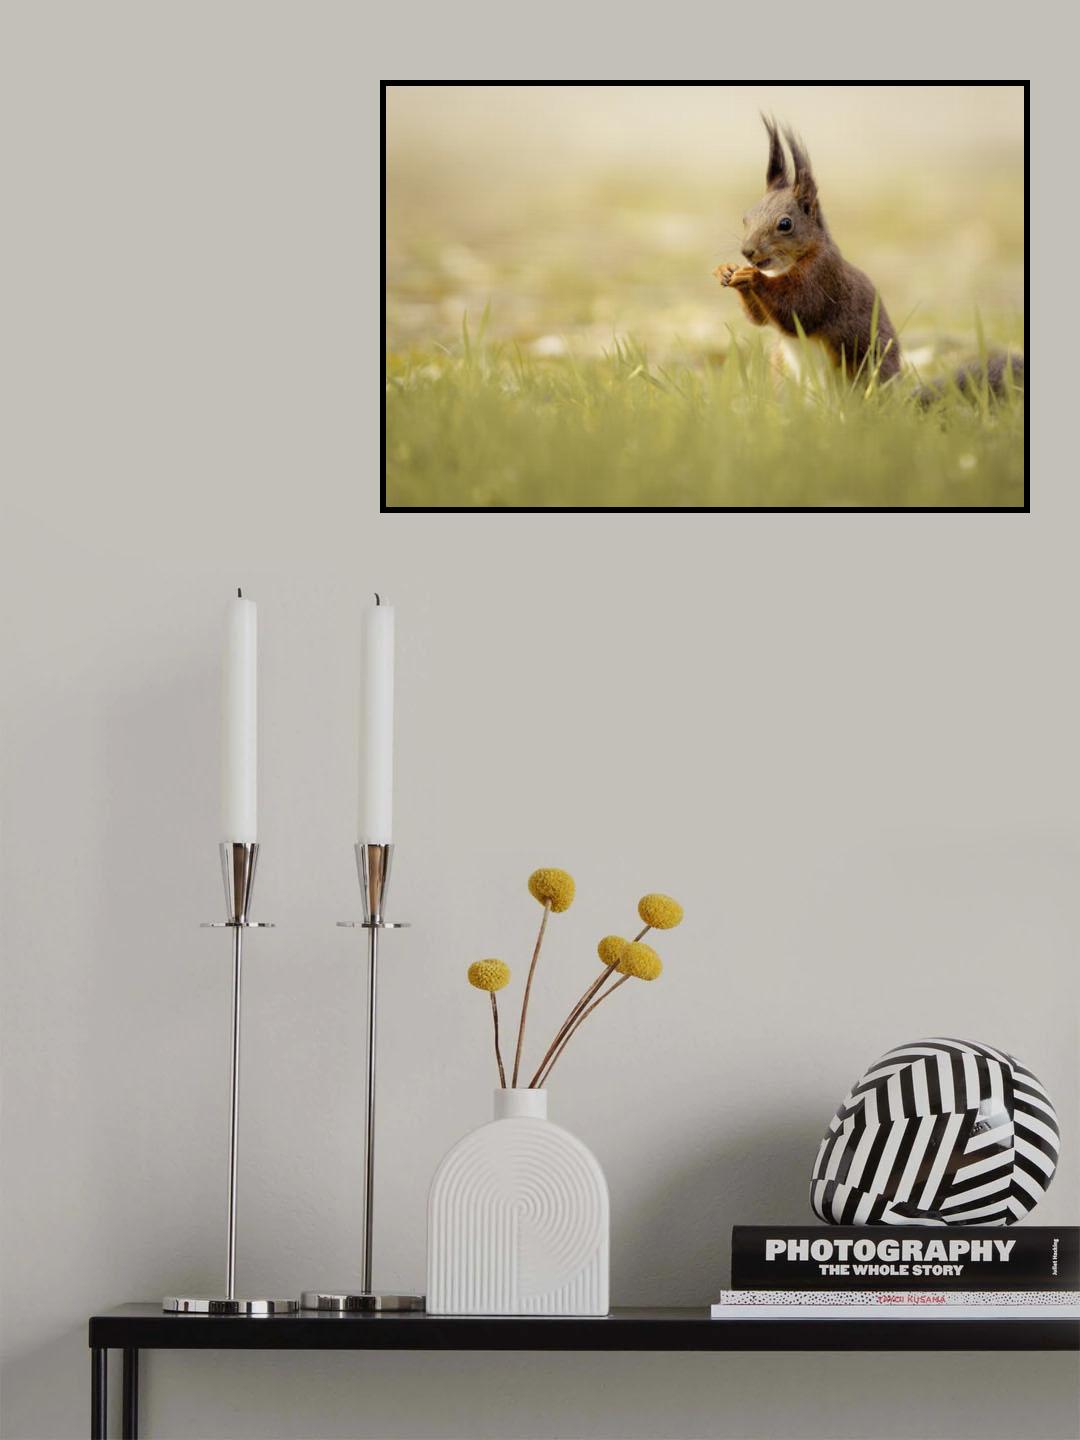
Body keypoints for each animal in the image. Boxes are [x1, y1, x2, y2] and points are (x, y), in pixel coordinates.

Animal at [715, 118, 1023, 401]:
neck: (785, 266)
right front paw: (727, 271)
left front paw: (751, 277)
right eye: (746, 217)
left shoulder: (823, 277)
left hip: (857, 372)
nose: (748, 252)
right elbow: (759, 319)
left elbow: (799, 309)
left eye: (785, 224)